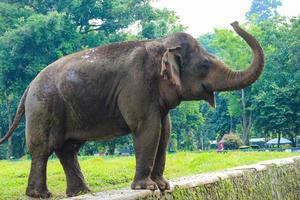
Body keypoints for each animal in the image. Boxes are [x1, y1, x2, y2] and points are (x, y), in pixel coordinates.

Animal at [0, 21, 262, 198]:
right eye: (205, 64)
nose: (234, 22)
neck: (160, 43)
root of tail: (29, 86)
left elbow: (165, 132)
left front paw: (164, 186)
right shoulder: (137, 85)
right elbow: (148, 129)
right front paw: (147, 188)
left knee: (68, 149)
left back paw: (81, 192)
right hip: (44, 106)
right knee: (43, 148)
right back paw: (41, 195)